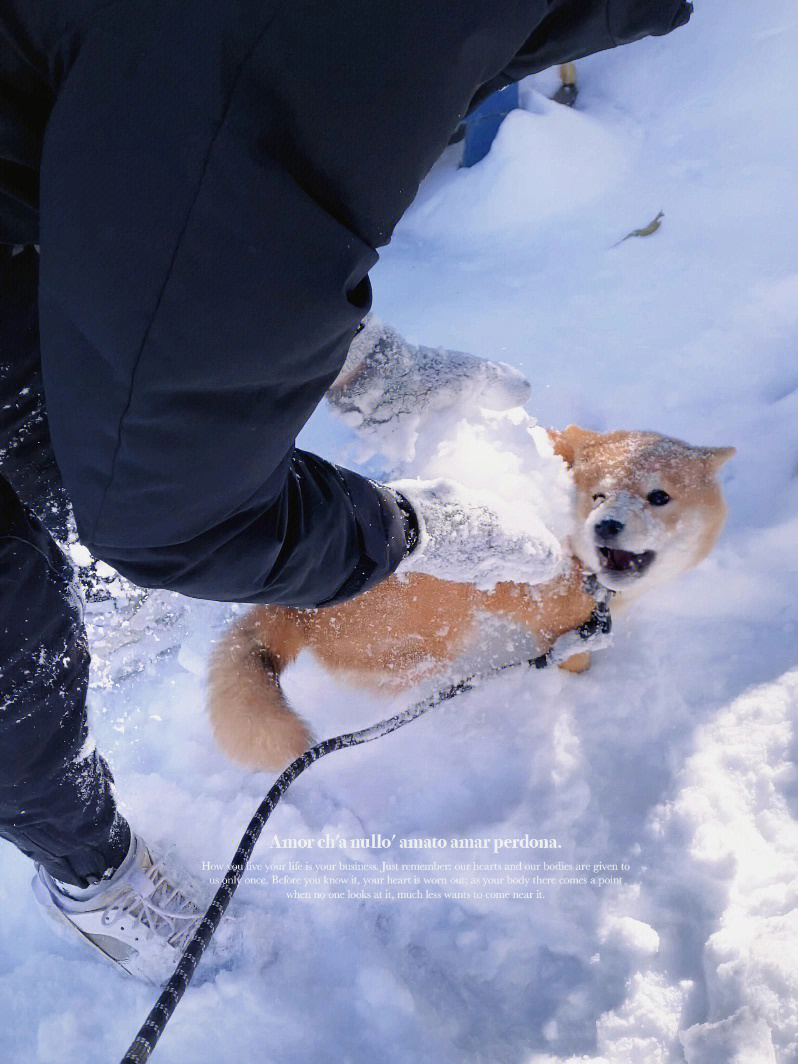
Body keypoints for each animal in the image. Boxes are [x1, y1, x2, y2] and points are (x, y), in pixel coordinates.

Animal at [207, 425, 736, 774]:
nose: (605, 526)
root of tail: (290, 607)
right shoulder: (558, 628)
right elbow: (574, 659)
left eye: (659, 497)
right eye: (598, 496)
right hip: (432, 642)